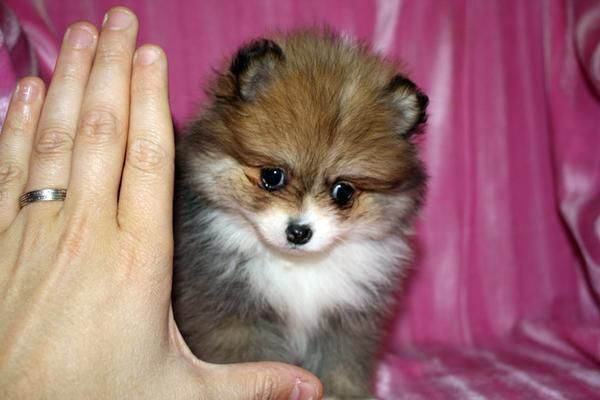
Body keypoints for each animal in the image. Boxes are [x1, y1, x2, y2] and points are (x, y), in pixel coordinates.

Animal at [171, 29, 428, 398]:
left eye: (343, 192)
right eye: (272, 176)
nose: (299, 232)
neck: (298, 267)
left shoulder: (347, 319)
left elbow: (342, 367)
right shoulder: (232, 316)